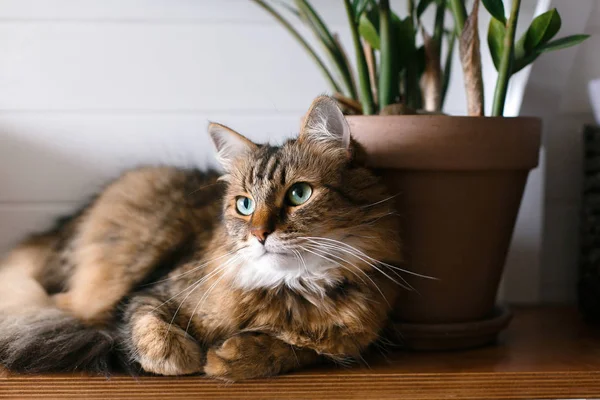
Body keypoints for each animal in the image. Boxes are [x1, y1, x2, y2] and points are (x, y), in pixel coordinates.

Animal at [1, 95, 404, 380]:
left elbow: (296, 351)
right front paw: (191, 357)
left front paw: (234, 356)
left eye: (299, 194)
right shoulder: (149, 294)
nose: (260, 234)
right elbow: (153, 331)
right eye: (244, 204)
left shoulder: (344, 343)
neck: (291, 289)